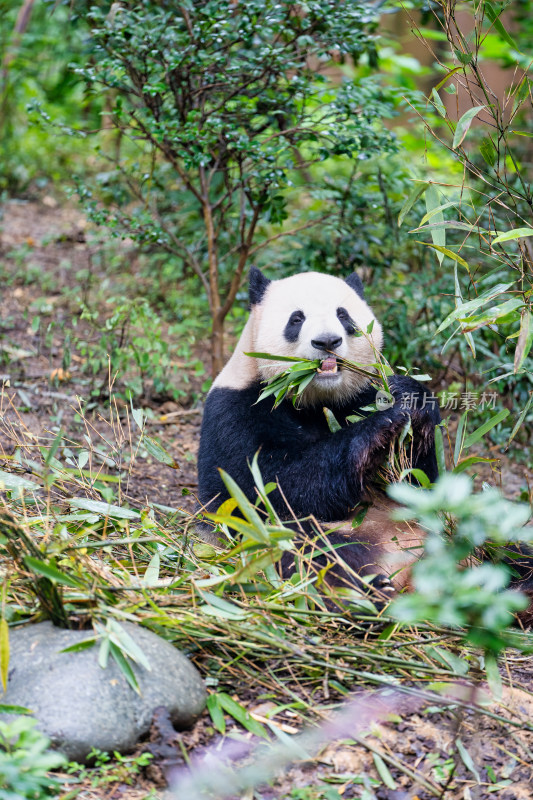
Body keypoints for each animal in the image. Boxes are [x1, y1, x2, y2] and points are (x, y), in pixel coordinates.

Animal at [197, 268, 442, 592]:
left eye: (343, 315)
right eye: (296, 318)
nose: (327, 341)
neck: (315, 399)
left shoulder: (358, 396)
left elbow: (421, 482)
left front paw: (409, 401)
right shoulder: (236, 411)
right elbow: (271, 484)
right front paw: (378, 430)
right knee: (303, 545)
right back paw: (366, 586)